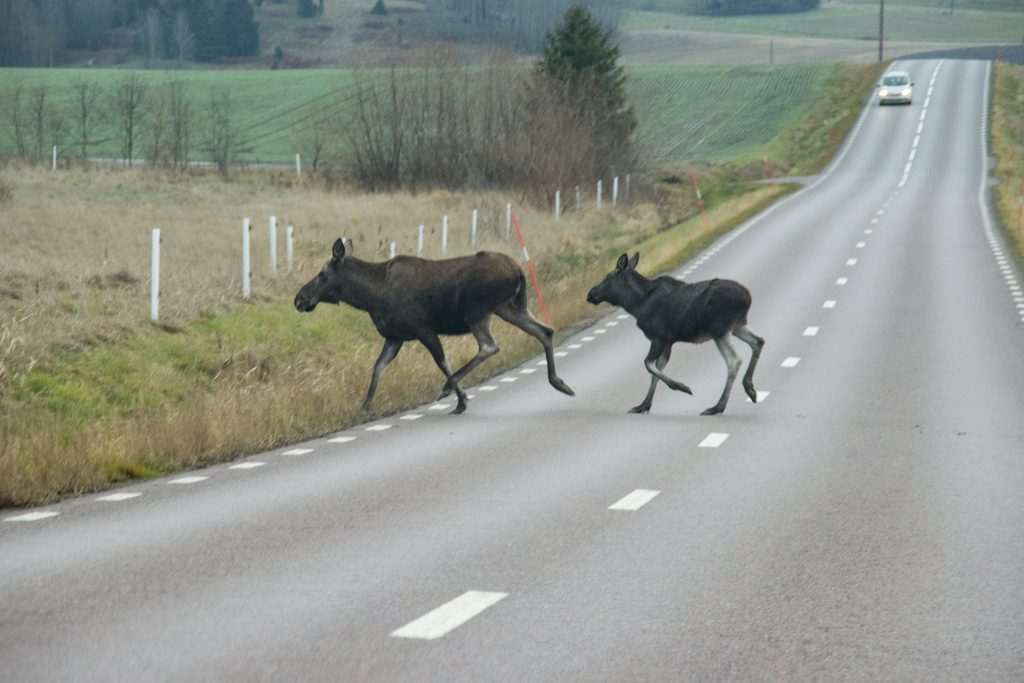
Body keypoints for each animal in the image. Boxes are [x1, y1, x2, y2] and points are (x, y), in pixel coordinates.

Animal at [294, 237, 577, 413]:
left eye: (322, 274)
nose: (299, 299)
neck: (370, 297)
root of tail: (518, 271)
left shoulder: (424, 329)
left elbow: (442, 362)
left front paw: (461, 399)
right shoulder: (395, 337)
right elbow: (377, 368)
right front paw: (364, 408)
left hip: (477, 310)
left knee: (489, 346)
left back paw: (448, 387)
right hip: (509, 307)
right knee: (545, 330)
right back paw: (559, 382)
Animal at [589, 252, 765, 417]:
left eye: (607, 278)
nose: (590, 294)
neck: (636, 305)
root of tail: (747, 298)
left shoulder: (658, 337)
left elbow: (648, 364)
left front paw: (682, 387)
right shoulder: (668, 341)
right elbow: (656, 371)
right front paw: (643, 406)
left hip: (719, 330)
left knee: (734, 360)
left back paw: (717, 407)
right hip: (737, 326)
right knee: (758, 341)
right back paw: (749, 388)